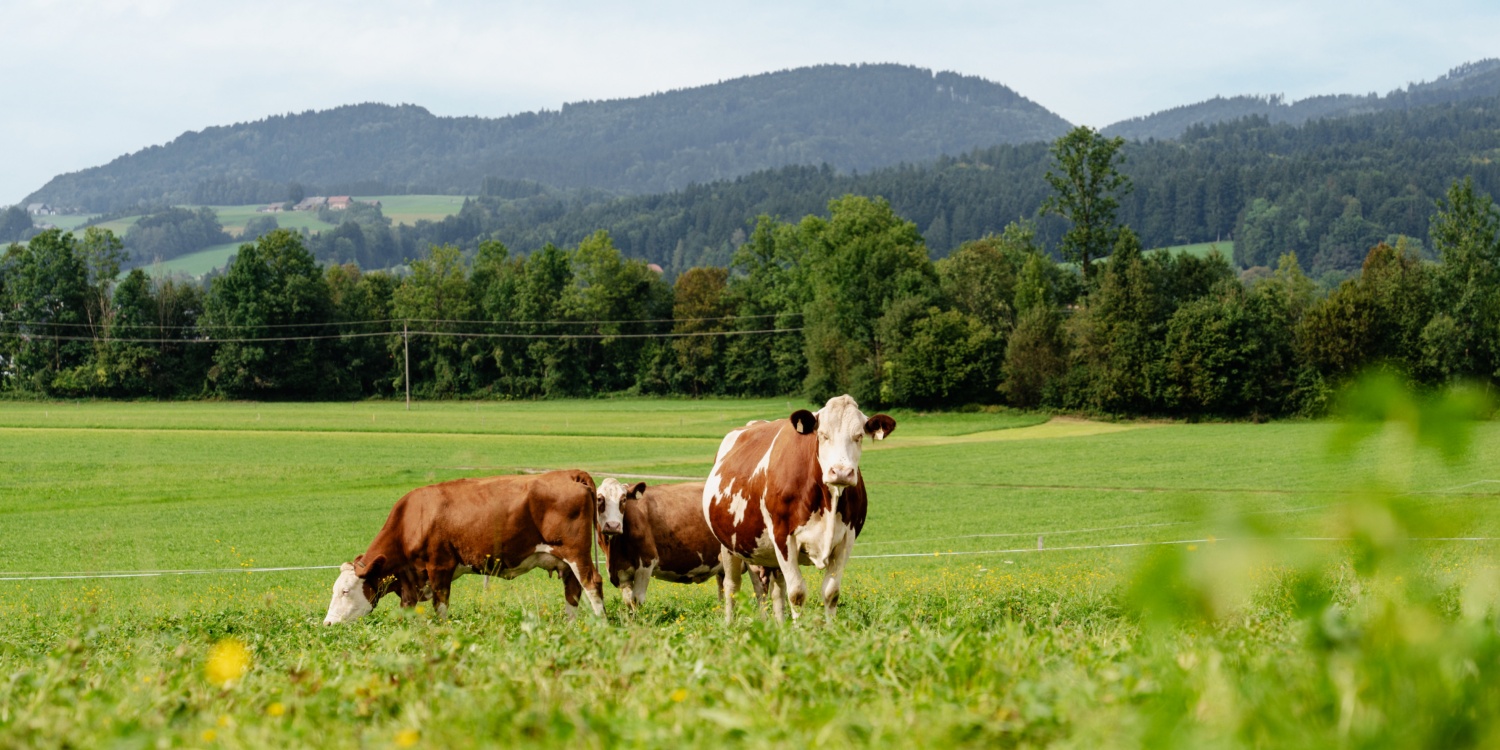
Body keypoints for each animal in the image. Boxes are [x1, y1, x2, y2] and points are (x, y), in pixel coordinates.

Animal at [323, 470, 606, 625]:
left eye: (346, 591)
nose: (328, 623)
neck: (413, 519)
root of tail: (569, 474)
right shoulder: (410, 579)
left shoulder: (439, 567)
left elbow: (440, 607)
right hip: (566, 562)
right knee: (572, 593)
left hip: (577, 555)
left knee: (592, 584)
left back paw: (602, 627)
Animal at [593, 478, 729, 613]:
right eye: (599, 499)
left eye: (623, 499)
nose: (613, 526)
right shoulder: (621, 572)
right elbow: (628, 601)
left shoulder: (646, 562)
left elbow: (637, 600)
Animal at [703, 394, 896, 623]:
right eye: (823, 435)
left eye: (859, 436)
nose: (840, 472)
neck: (828, 501)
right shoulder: (783, 537)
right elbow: (796, 594)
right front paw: (799, 630)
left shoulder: (846, 540)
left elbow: (831, 592)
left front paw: (831, 629)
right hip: (729, 545)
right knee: (732, 586)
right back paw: (730, 624)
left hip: (759, 549)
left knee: (770, 589)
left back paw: (775, 624)